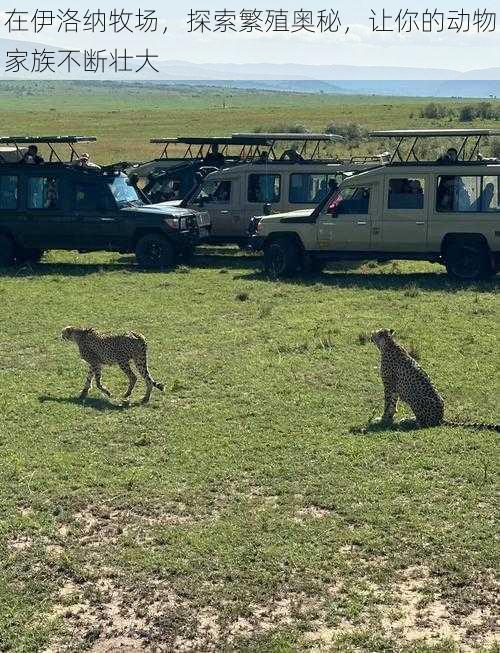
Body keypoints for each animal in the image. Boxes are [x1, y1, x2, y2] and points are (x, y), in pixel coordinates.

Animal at [372, 328, 500, 430]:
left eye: (376, 332)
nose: (371, 333)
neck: (389, 343)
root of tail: (440, 418)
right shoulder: (394, 387)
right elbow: (393, 403)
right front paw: (388, 418)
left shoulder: (389, 385)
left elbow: (388, 403)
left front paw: (382, 419)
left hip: (416, 399)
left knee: (423, 423)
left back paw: (409, 420)